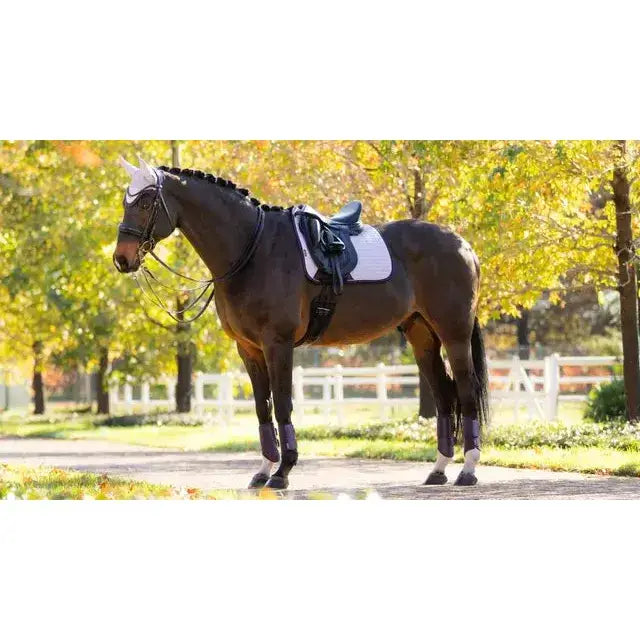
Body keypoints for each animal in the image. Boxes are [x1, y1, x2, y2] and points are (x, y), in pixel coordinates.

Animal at [113, 156, 489, 490]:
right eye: (125, 201)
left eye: (144, 201)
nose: (122, 259)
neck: (252, 250)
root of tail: (462, 245)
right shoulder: (248, 349)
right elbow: (262, 408)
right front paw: (263, 471)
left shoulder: (277, 344)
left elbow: (282, 405)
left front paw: (282, 472)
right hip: (421, 334)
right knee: (443, 395)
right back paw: (438, 470)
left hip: (453, 334)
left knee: (465, 391)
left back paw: (468, 471)